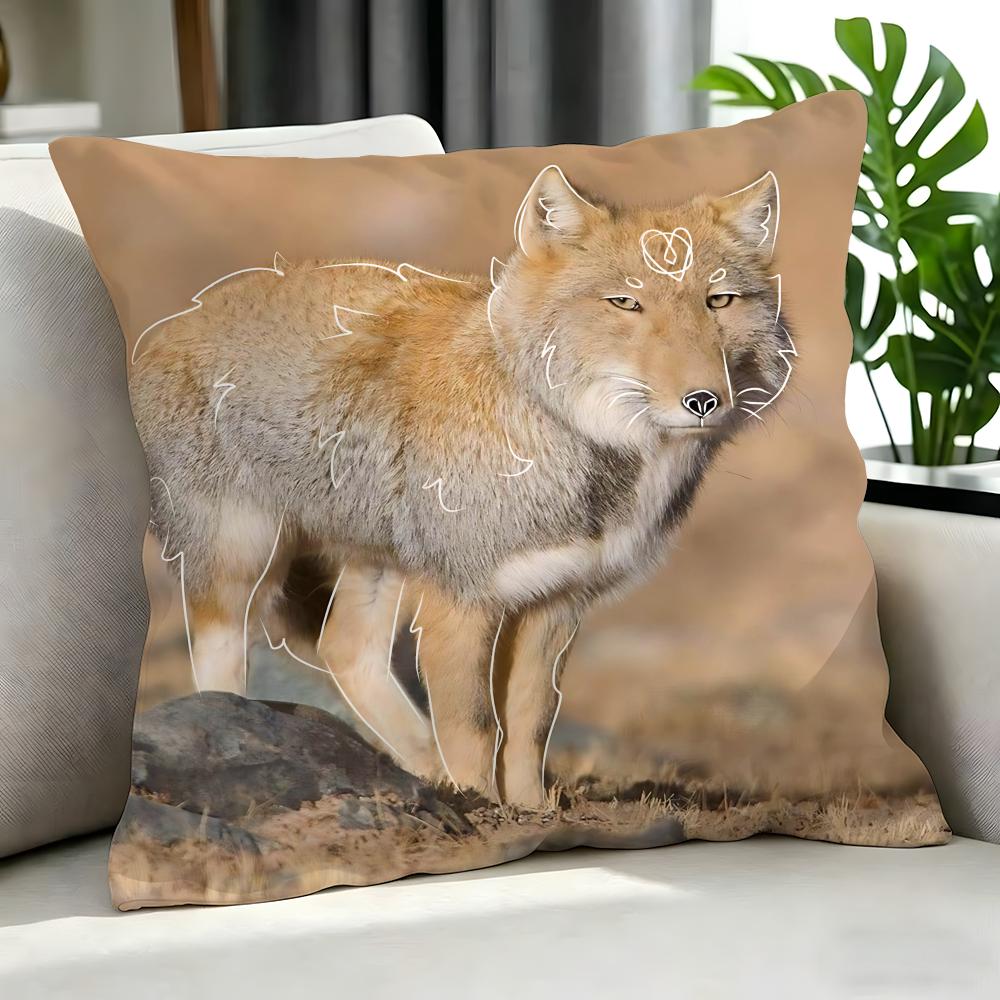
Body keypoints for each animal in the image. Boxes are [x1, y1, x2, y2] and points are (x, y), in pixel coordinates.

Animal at [131, 164, 790, 808]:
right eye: (625, 303)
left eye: (719, 301)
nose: (704, 401)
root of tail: (157, 332)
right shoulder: (461, 598)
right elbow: (474, 725)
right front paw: (480, 808)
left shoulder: (556, 600)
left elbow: (529, 723)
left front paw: (528, 811)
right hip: (241, 563)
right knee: (220, 665)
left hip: (376, 565)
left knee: (346, 650)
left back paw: (421, 769)